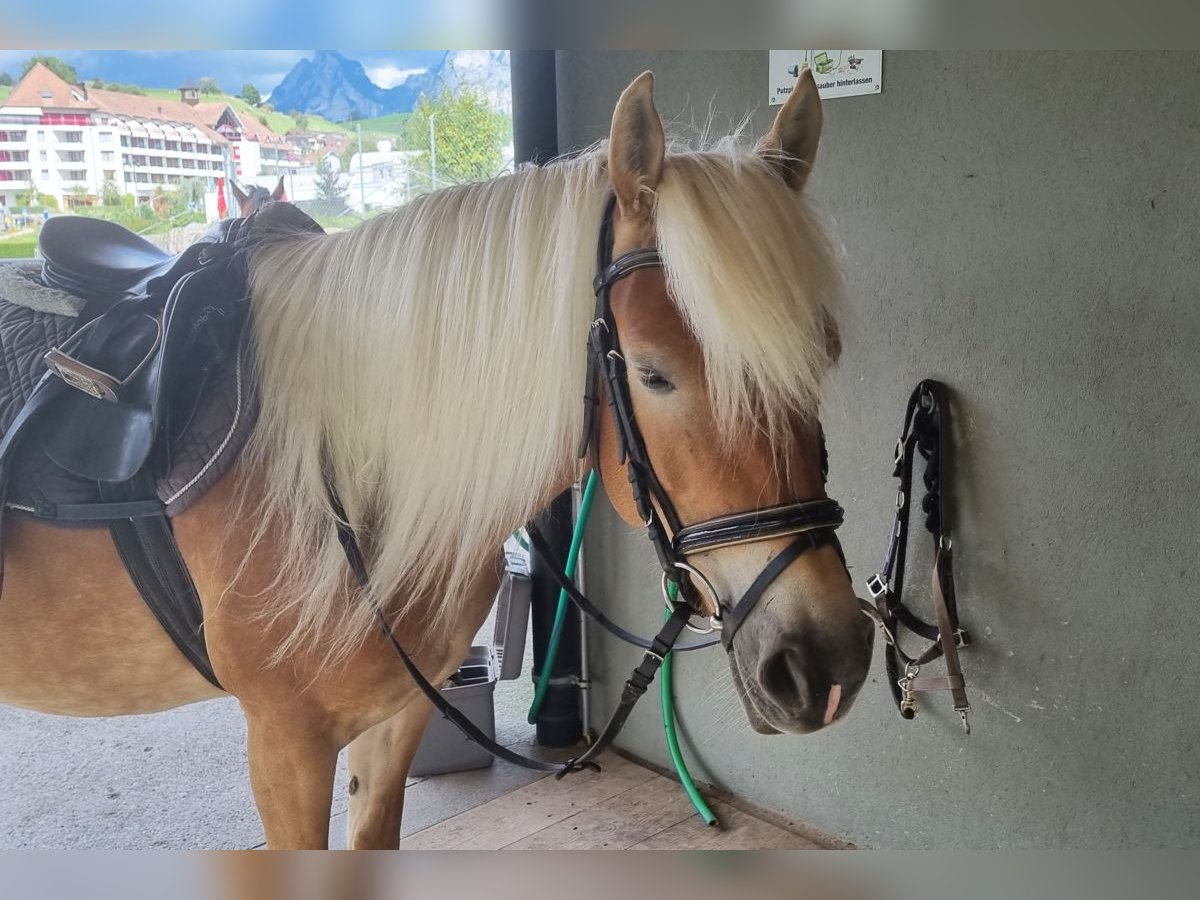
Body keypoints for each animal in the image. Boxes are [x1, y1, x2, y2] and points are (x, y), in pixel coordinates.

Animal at [0, 72, 868, 854]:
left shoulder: (395, 719)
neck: (351, 472)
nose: (825, 658)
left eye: (825, 356)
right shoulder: (285, 744)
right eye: (655, 374)